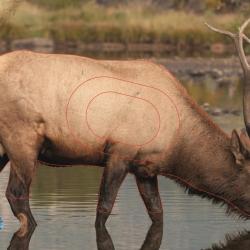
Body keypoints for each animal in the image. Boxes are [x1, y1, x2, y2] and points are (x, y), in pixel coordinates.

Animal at [0, 19, 250, 236]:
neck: (176, 144)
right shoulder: (120, 151)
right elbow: (104, 207)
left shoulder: (146, 168)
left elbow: (157, 212)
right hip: (22, 139)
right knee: (16, 194)